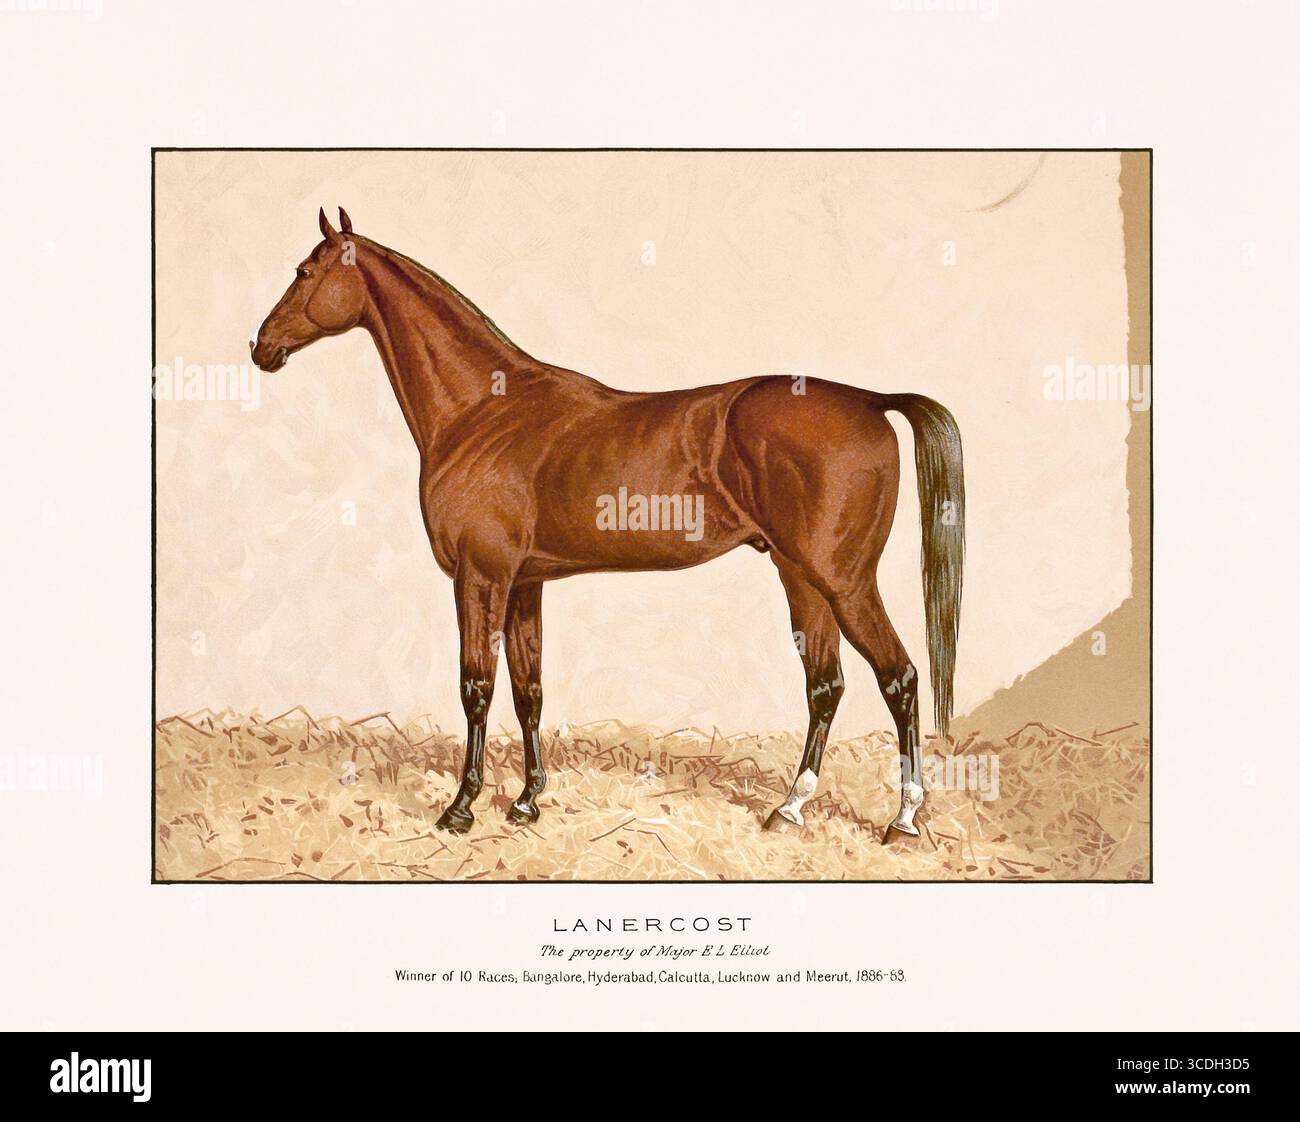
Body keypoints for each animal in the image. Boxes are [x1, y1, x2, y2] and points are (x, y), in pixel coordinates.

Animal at [251, 208, 965, 841]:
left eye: (305, 270)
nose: (261, 346)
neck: (483, 408)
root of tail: (872, 401)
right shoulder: (525, 583)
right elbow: (529, 691)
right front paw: (527, 803)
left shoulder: (481, 578)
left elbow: (476, 687)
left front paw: (461, 809)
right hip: (802, 578)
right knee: (826, 685)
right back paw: (788, 809)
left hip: (844, 581)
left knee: (899, 678)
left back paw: (903, 819)